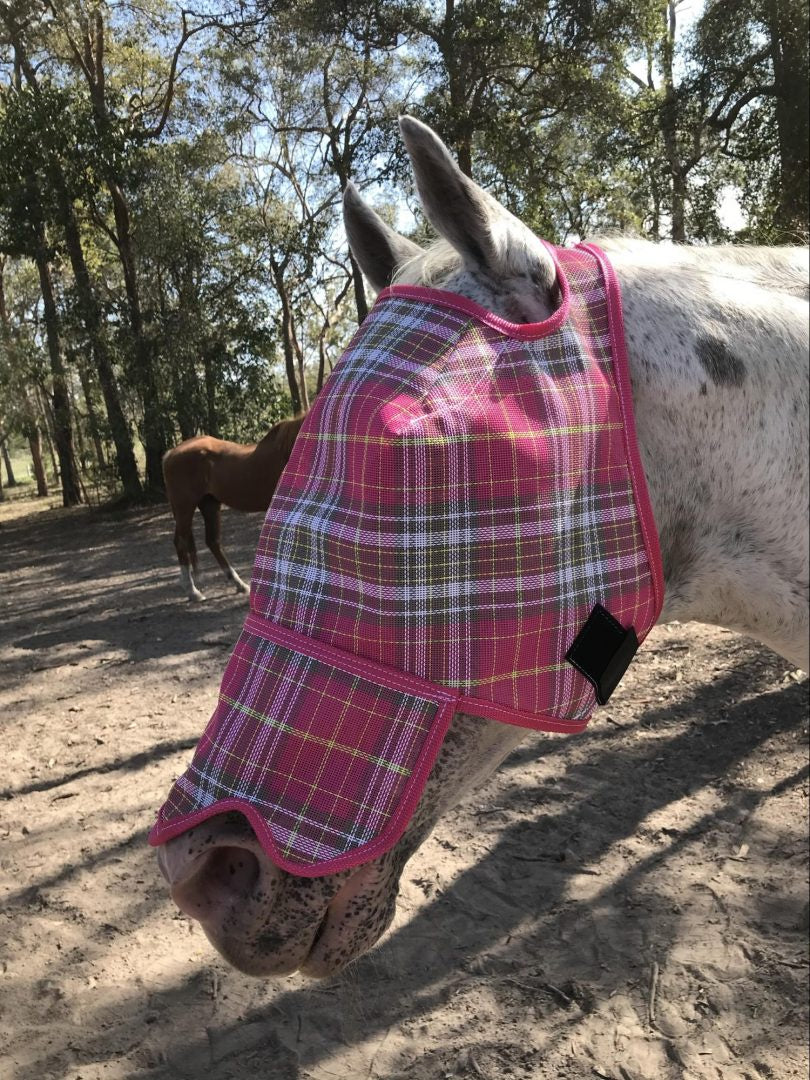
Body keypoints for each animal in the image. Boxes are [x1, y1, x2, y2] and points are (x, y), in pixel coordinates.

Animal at [163, 410, 306, 600]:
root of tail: (170, 454)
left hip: (209, 505)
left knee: (212, 542)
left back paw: (239, 584)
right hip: (185, 506)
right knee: (181, 541)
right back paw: (192, 590)